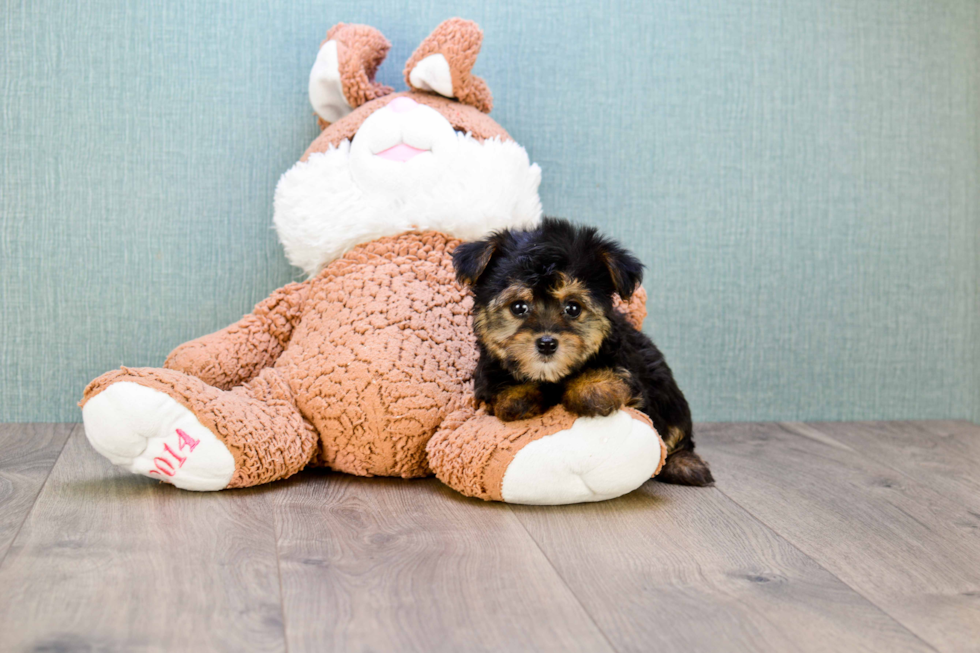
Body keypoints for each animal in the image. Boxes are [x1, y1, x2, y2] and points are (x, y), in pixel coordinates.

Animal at [452, 216, 712, 486]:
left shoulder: (627, 368)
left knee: (676, 434)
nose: (547, 343)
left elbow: (614, 376)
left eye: (573, 308)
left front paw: (593, 389)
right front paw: (517, 395)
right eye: (519, 307)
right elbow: (503, 391)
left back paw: (686, 464)